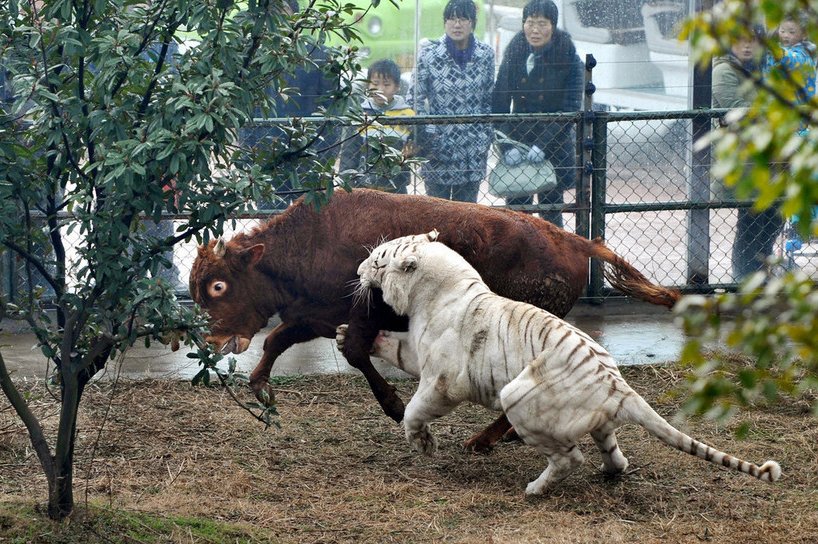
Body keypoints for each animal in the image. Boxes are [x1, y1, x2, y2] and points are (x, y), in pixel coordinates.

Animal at [188, 187, 680, 450]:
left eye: (218, 286)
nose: (210, 342)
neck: (310, 243)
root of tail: (575, 242)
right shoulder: (314, 316)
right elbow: (279, 340)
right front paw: (261, 389)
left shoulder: (363, 313)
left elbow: (356, 352)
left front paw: (394, 406)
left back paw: (485, 440)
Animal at [352, 232, 784, 496]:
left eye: (377, 262)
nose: (357, 271)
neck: (431, 290)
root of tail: (618, 385)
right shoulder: (417, 351)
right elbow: (397, 350)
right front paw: (352, 336)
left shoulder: (443, 380)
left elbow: (414, 410)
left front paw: (424, 444)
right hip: (599, 422)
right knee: (614, 453)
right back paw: (611, 471)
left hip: (518, 396)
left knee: (569, 458)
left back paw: (535, 489)